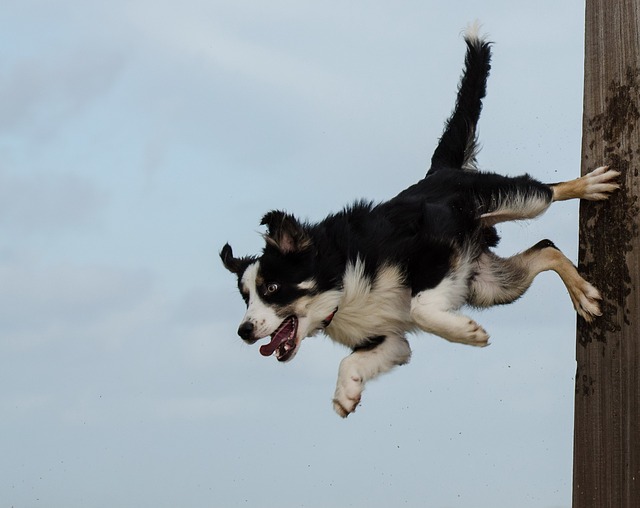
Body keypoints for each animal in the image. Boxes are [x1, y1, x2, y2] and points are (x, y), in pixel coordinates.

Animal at [220, 25, 620, 418]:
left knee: (546, 191)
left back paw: (590, 185)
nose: (243, 331)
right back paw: (583, 295)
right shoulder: (389, 339)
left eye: (272, 288)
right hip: (491, 286)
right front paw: (346, 393)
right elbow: (355, 360)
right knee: (546, 249)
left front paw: (467, 332)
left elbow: (420, 308)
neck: (340, 278)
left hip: (511, 201)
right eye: (245, 297)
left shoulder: (435, 247)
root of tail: (439, 170)